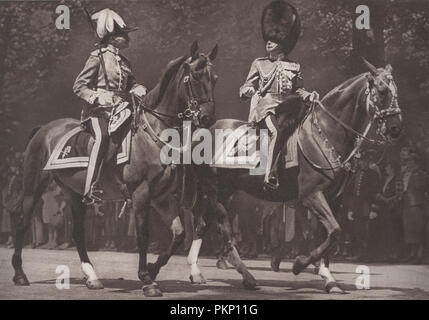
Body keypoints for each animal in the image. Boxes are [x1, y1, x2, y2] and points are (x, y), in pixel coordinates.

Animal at [11, 40, 219, 298]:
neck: (154, 133)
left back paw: (92, 277)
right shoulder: (141, 193)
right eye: (195, 77)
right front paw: (146, 279)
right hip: (33, 188)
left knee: (77, 233)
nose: (207, 118)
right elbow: (143, 234)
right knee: (22, 221)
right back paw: (20, 274)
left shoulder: (162, 197)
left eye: (214, 78)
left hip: (74, 193)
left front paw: (153, 269)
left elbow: (179, 234)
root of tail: (43, 129)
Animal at [148, 60, 402, 296]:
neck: (326, 133)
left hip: (224, 190)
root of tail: (202, 130)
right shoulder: (312, 196)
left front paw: (329, 279)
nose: (395, 129)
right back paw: (241, 274)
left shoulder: (334, 199)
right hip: (213, 189)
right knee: (222, 228)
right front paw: (300, 265)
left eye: (395, 90)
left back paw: (200, 272)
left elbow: (330, 235)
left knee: (203, 224)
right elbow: (333, 232)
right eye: (381, 90)